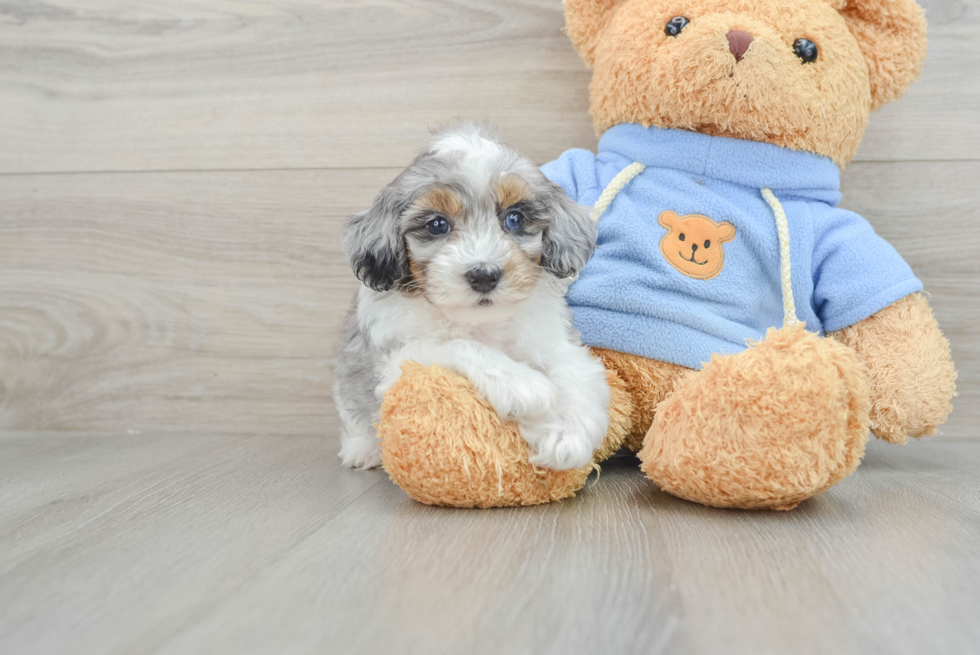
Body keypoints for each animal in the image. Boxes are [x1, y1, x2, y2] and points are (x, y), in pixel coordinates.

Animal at [336, 123, 612, 472]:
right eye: (437, 224)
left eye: (515, 219)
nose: (484, 275)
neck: (478, 321)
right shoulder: (393, 360)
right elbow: (456, 345)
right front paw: (523, 385)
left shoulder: (552, 338)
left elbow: (574, 369)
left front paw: (565, 432)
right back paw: (363, 450)